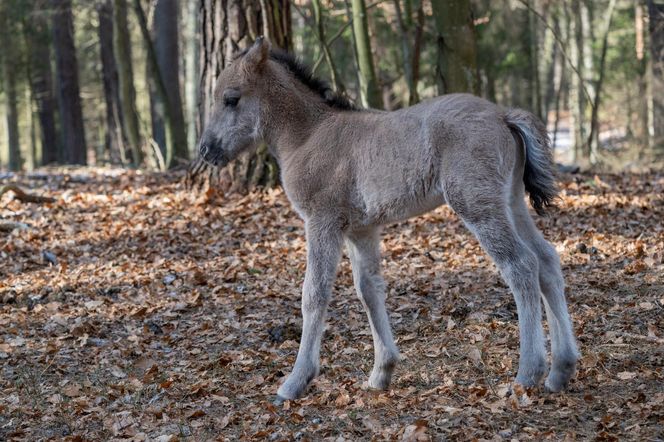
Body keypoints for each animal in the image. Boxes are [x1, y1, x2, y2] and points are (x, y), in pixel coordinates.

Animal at [200, 38, 580, 402]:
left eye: (231, 99)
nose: (205, 151)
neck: (308, 136)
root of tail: (503, 115)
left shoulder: (321, 220)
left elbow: (314, 294)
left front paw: (295, 382)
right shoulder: (361, 229)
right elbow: (369, 289)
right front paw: (381, 373)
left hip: (477, 205)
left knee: (521, 266)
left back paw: (528, 373)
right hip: (511, 202)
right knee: (546, 259)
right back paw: (560, 370)